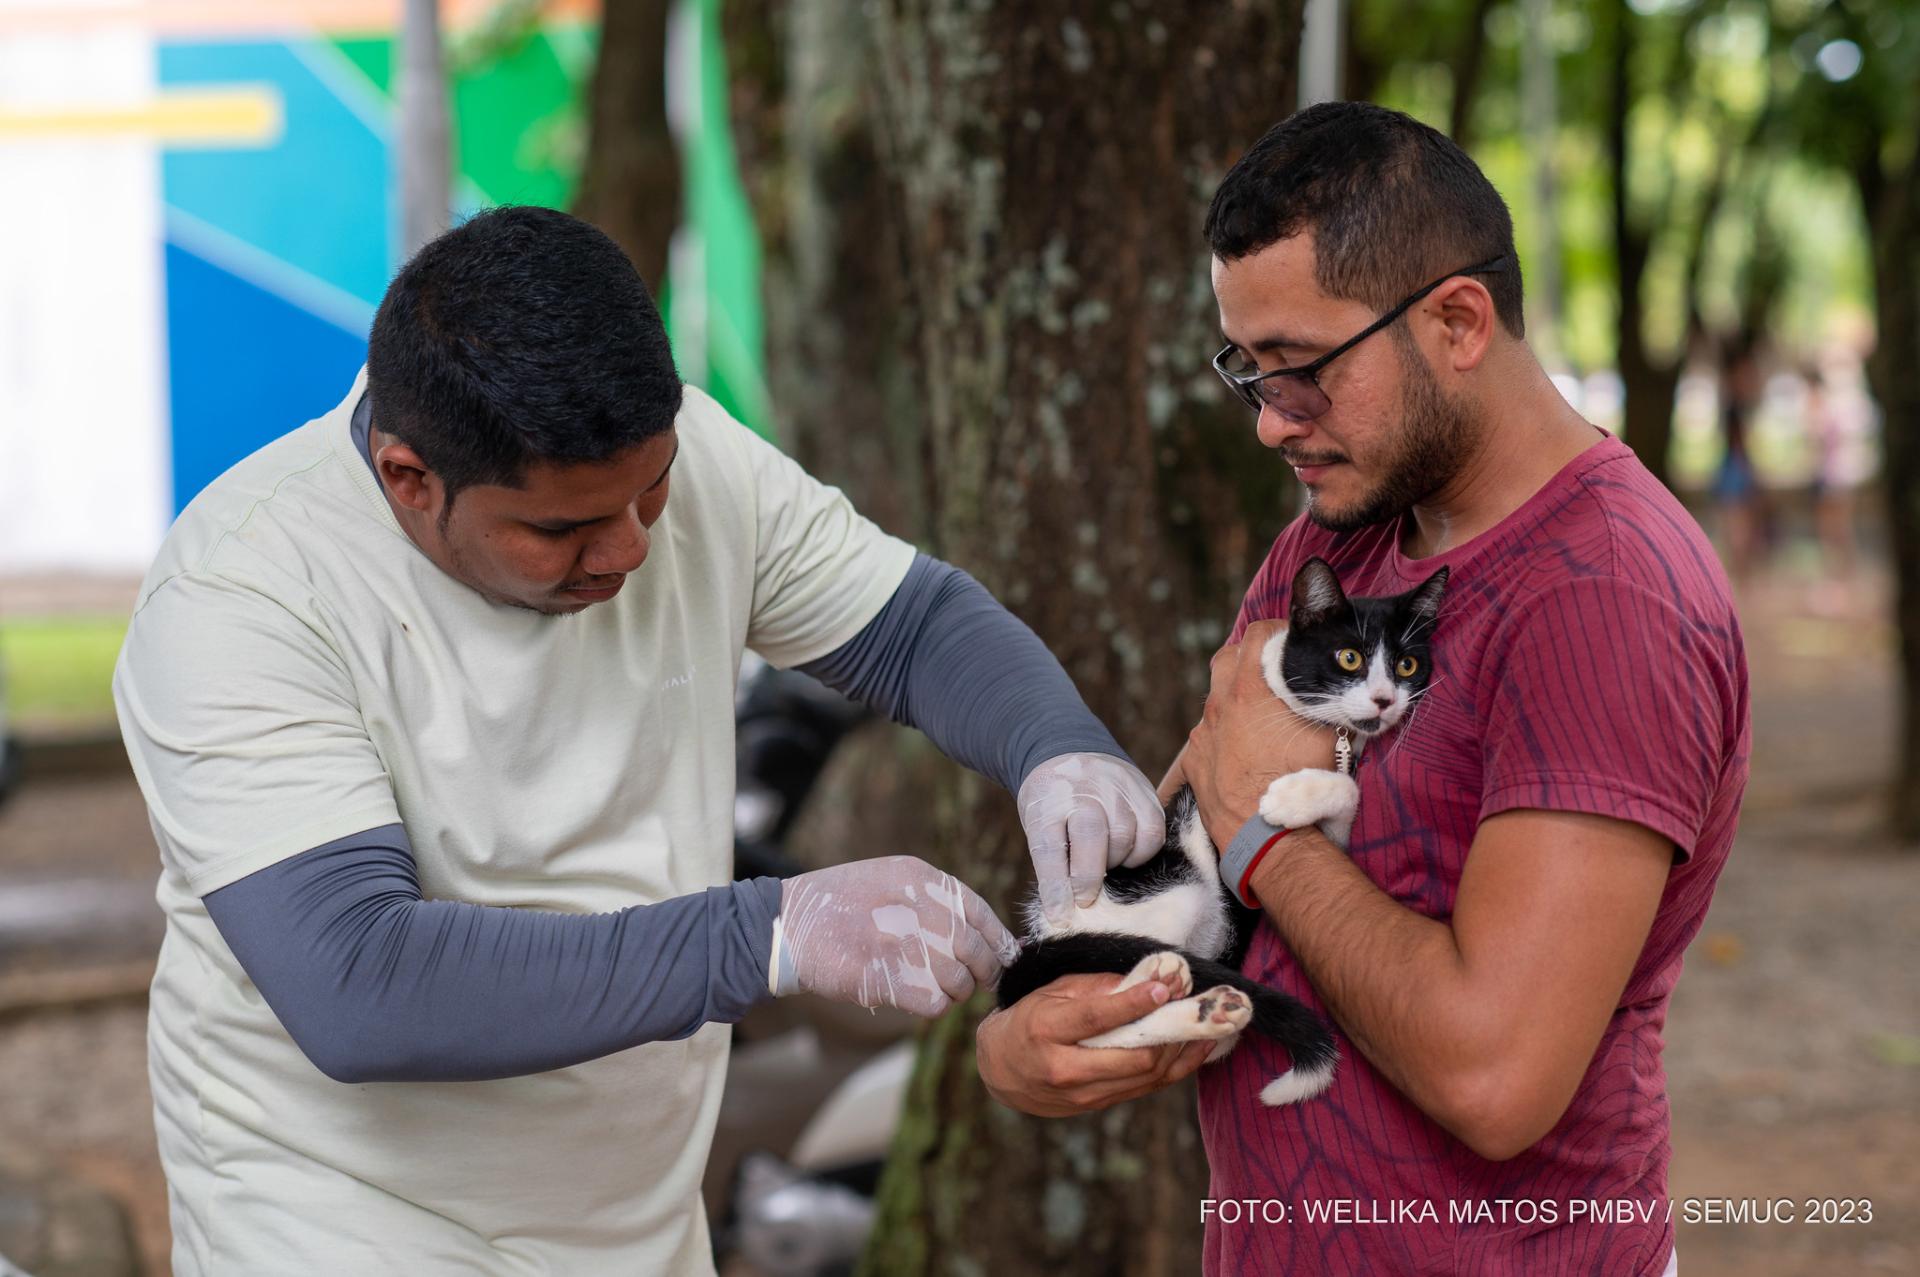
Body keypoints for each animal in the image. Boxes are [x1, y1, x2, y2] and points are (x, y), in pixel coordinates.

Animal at [998, 556, 1443, 1106]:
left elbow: (1350, 791)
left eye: (1406, 666)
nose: (1383, 701)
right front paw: (1286, 796)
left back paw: (1204, 1008)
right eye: (1349, 658)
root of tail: (1042, 933)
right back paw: (1169, 985)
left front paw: (1293, 796)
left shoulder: (1337, 832)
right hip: (1173, 887)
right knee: (1101, 1023)